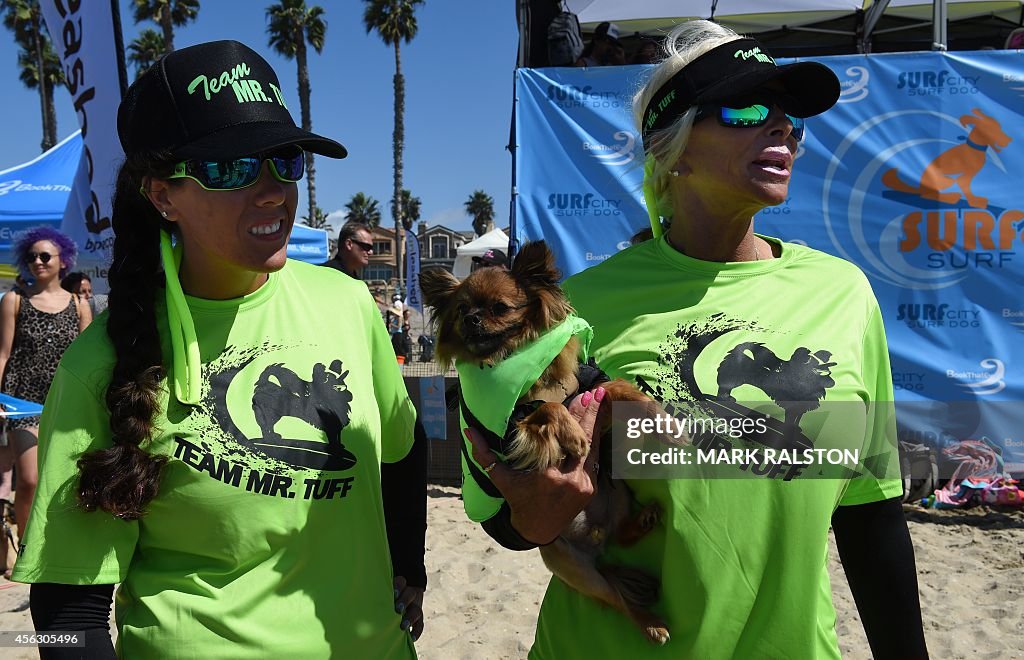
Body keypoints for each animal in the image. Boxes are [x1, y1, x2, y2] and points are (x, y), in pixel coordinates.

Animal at [417, 239, 671, 642]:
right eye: (460, 311)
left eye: (499, 308)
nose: (472, 319)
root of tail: (595, 541)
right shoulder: (513, 429)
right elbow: (547, 409)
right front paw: (572, 435)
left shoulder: (589, 389)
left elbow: (615, 387)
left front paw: (658, 417)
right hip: (572, 566)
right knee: (616, 597)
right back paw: (651, 623)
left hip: (618, 491)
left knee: (621, 536)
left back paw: (642, 521)